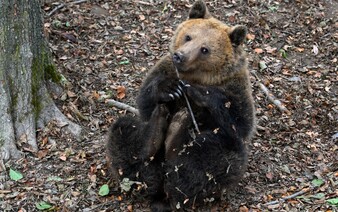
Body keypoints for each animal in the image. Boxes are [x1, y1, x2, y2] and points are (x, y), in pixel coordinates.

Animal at [105, 0, 254, 211]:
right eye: (188, 36)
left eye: (205, 49)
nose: (180, 56)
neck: (196, 76)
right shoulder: (164, 69)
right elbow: (146, 99)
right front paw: (170, 89)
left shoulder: (236, 87)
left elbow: (240, 121)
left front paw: (198, 92)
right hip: (141, 158)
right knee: (124, 134)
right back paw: (154, 135)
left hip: (208, 158)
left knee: (215, 157)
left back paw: (177, 135)